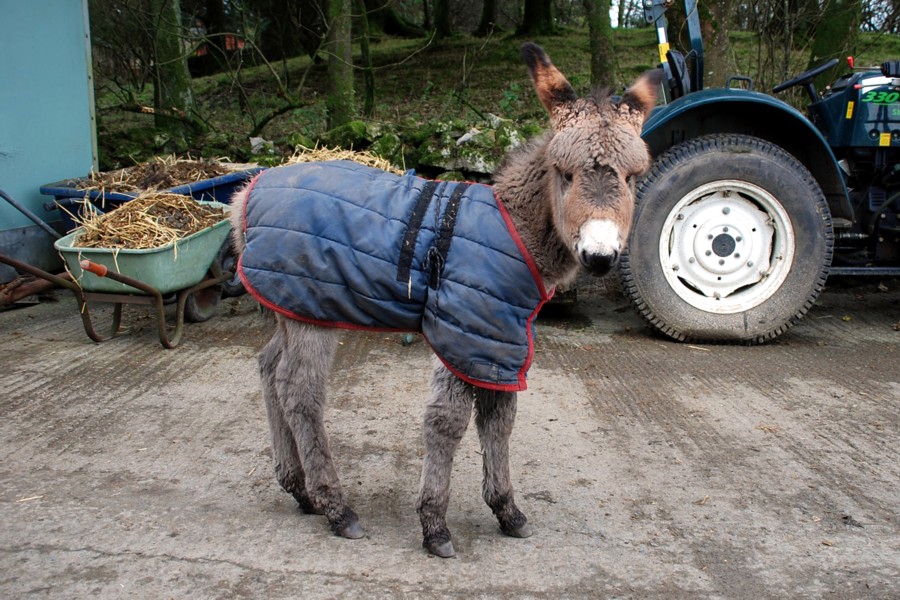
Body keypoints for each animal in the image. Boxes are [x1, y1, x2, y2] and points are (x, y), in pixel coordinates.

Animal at [230, 43, 661, 558]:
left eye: (633, 178)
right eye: (565, 174)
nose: (600, 255)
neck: (511, 229)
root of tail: (245, 195)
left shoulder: (500, 339)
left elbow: (499, 418)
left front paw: (507, 510)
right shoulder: (463, 332)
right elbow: (447, 421)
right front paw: (435, 525)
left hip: (290, 304)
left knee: (269, 370)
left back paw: (298, 488)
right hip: (309, 308)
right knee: (299, 391)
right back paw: (336, 507)